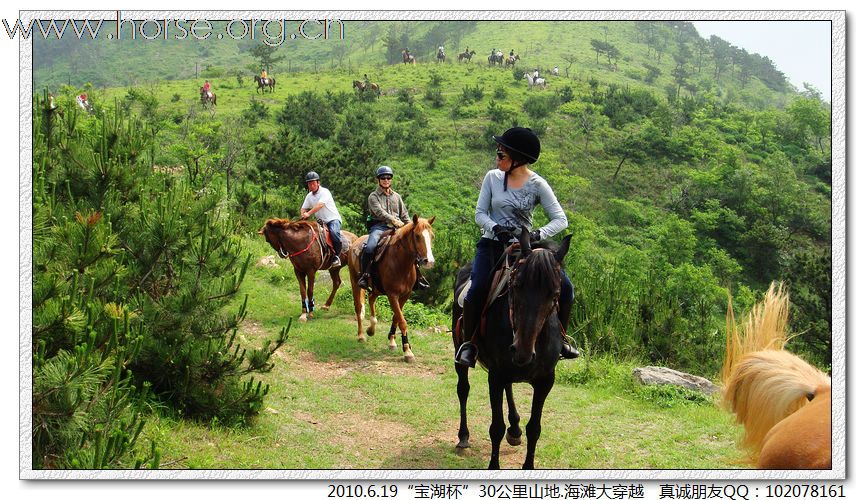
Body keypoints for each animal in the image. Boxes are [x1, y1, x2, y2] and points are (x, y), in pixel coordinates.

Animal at [348, 214, 436, 360]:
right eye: (417, 236)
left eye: (432, 236)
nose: (429, 261)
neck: (401, 263)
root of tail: (355, 242)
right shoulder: (392, 295)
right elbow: (402, 320)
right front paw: (407, 351)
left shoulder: (405, 295)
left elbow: (396, 318)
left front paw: (392, 341)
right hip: (355, 283)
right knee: (359, 308)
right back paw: (361, 335)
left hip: (377, 289)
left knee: (371, 298)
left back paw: (371, 328)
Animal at [448, 229, 572, 470]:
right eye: (516, 286)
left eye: (555, 294)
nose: (522, 352)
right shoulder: (496, 376)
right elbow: (496, 427)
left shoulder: (545, 381)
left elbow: (535, 428)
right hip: (461, 351)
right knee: (463, 389)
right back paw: (464, 436)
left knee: (509, 387)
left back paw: (514, 429)